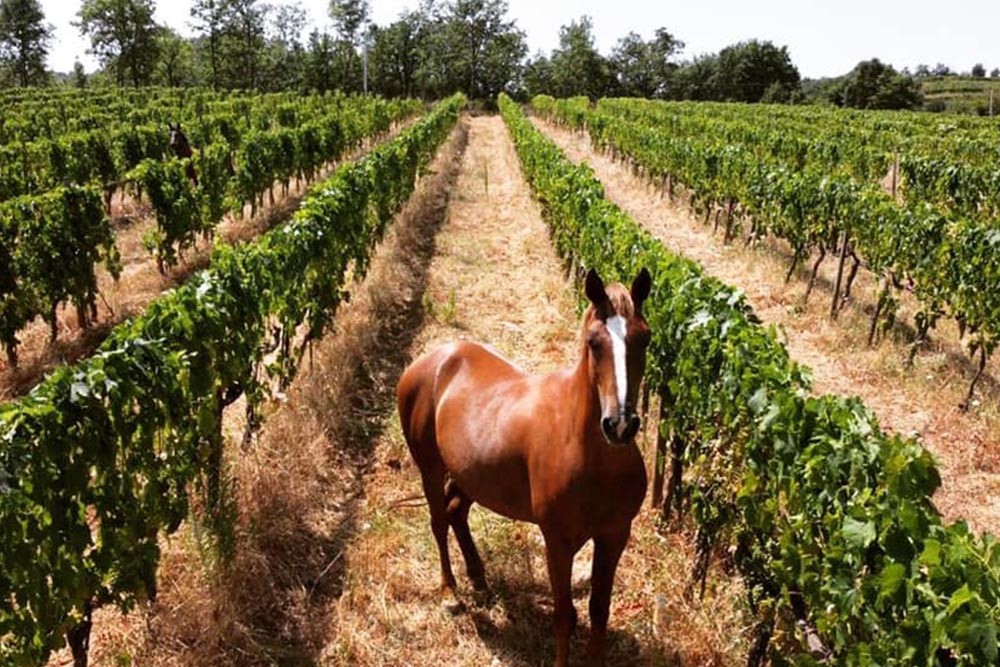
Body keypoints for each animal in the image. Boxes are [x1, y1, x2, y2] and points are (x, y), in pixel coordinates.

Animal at [394, 268, 652, 667]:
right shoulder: (558, 541)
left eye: (645, 339)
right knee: (438, 521)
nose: (620, 425)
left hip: (471, 476)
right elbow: (564, 616)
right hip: (430, 468)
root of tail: (430, 361)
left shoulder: (614, 535)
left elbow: (599, 611)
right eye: (594, 342)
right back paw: (450, 593)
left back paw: (479, 580)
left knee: (456, 512)